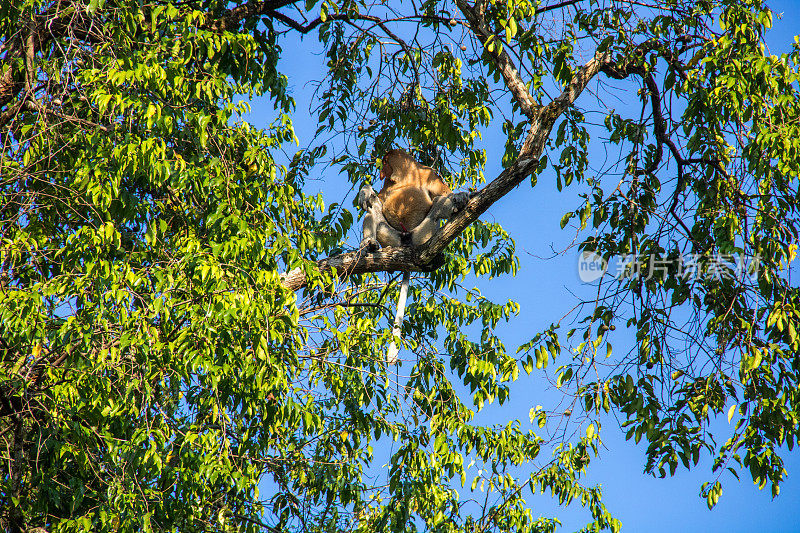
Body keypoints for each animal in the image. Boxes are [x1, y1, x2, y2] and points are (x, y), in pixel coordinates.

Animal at [354, 148, 468, 364]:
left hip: (424, 233)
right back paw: (369, 244)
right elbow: (377, 199)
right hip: (389, 236)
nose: (381, 172)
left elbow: (444, 193)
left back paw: (455, 206)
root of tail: (406, 242)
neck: (406, 176)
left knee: (438, 205)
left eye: (385, 162)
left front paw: (461, 196)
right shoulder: (387, 187)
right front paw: (364, 190)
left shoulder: (430, 174)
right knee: (372, 208)